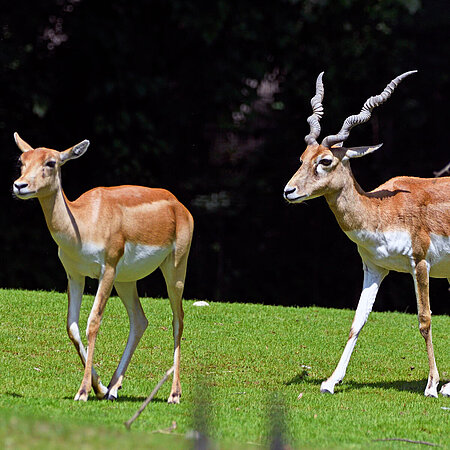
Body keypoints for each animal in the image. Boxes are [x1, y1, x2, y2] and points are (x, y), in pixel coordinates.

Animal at [13, 134, 192, 404]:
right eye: (21, 161)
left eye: (51, 162)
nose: (20, 185)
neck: (83, 222)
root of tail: (179, 205)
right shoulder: (74, 275)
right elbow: (72, 326)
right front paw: (99, 387)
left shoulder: (107, 270)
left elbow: (93, 321)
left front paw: (83, 391)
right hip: (126, 280)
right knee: (140, 320)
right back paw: (113, 389)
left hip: (175, 268)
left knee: (178, 319)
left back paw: (174, 394)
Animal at [284, 71, 448, 398]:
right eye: (302, 157)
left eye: (325, 161)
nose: (289, 191)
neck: (382, 210)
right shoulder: (374, 268)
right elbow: (357, 321)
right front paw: (331, 381)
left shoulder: (420, 262)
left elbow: (424, 320)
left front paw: (432, 385)